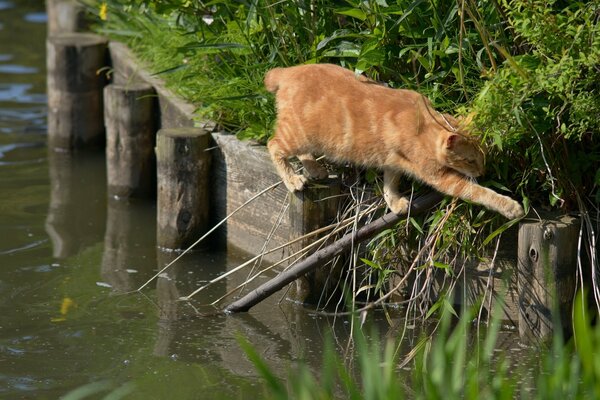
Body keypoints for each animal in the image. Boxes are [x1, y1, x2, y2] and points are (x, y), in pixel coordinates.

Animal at [264, 63, 524, 219]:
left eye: (483, 157)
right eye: (470, 161)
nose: (482, 171)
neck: (423, 123)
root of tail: (287, 71)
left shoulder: (392, 161)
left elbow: (390, 184)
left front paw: (395, 203)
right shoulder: (441, 178)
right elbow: (479, 192)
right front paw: (510, 206)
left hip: (311, 141)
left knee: (300, 152)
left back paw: (315, 169)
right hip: (298, 135)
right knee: (273, 144)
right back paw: (293, 179)